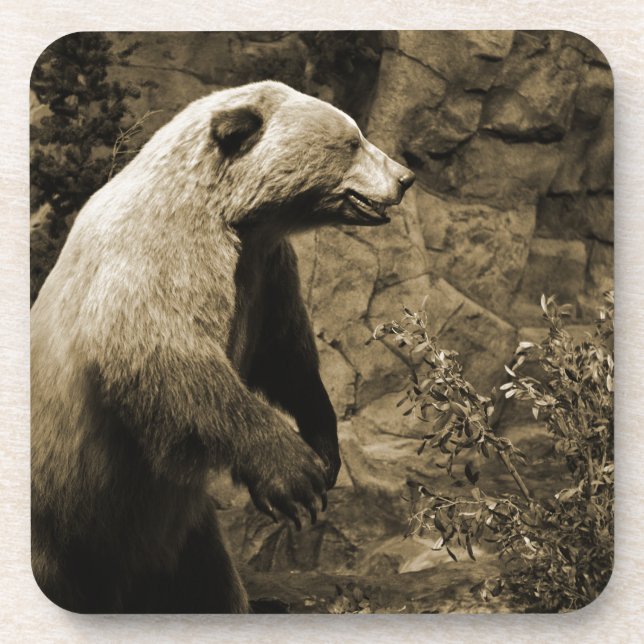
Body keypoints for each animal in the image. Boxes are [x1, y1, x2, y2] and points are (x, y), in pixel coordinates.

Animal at [31, 80, 415, 613]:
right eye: (352, 141)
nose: (405, 177)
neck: (236, 217)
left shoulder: (266, 272)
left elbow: (286, 357)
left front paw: (324, 448)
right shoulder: (161, 252)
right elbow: (168, 353)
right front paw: (295, 476)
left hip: (181, 537)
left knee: (205, 585)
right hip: (62, 521)